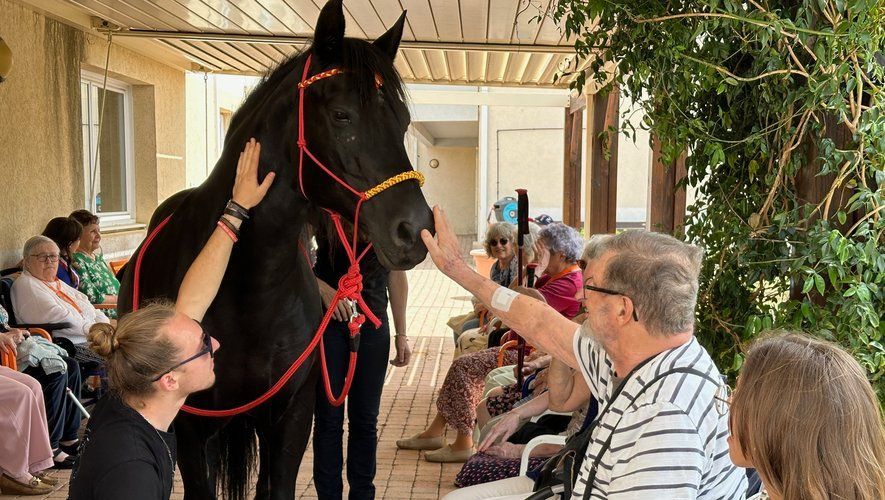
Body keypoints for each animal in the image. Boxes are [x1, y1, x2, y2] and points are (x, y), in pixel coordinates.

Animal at [116, 1, 432, 498]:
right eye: (342, 115)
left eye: (401, 121)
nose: (415, 230)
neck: (248, 287)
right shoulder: (190, 429)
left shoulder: (290, 418)